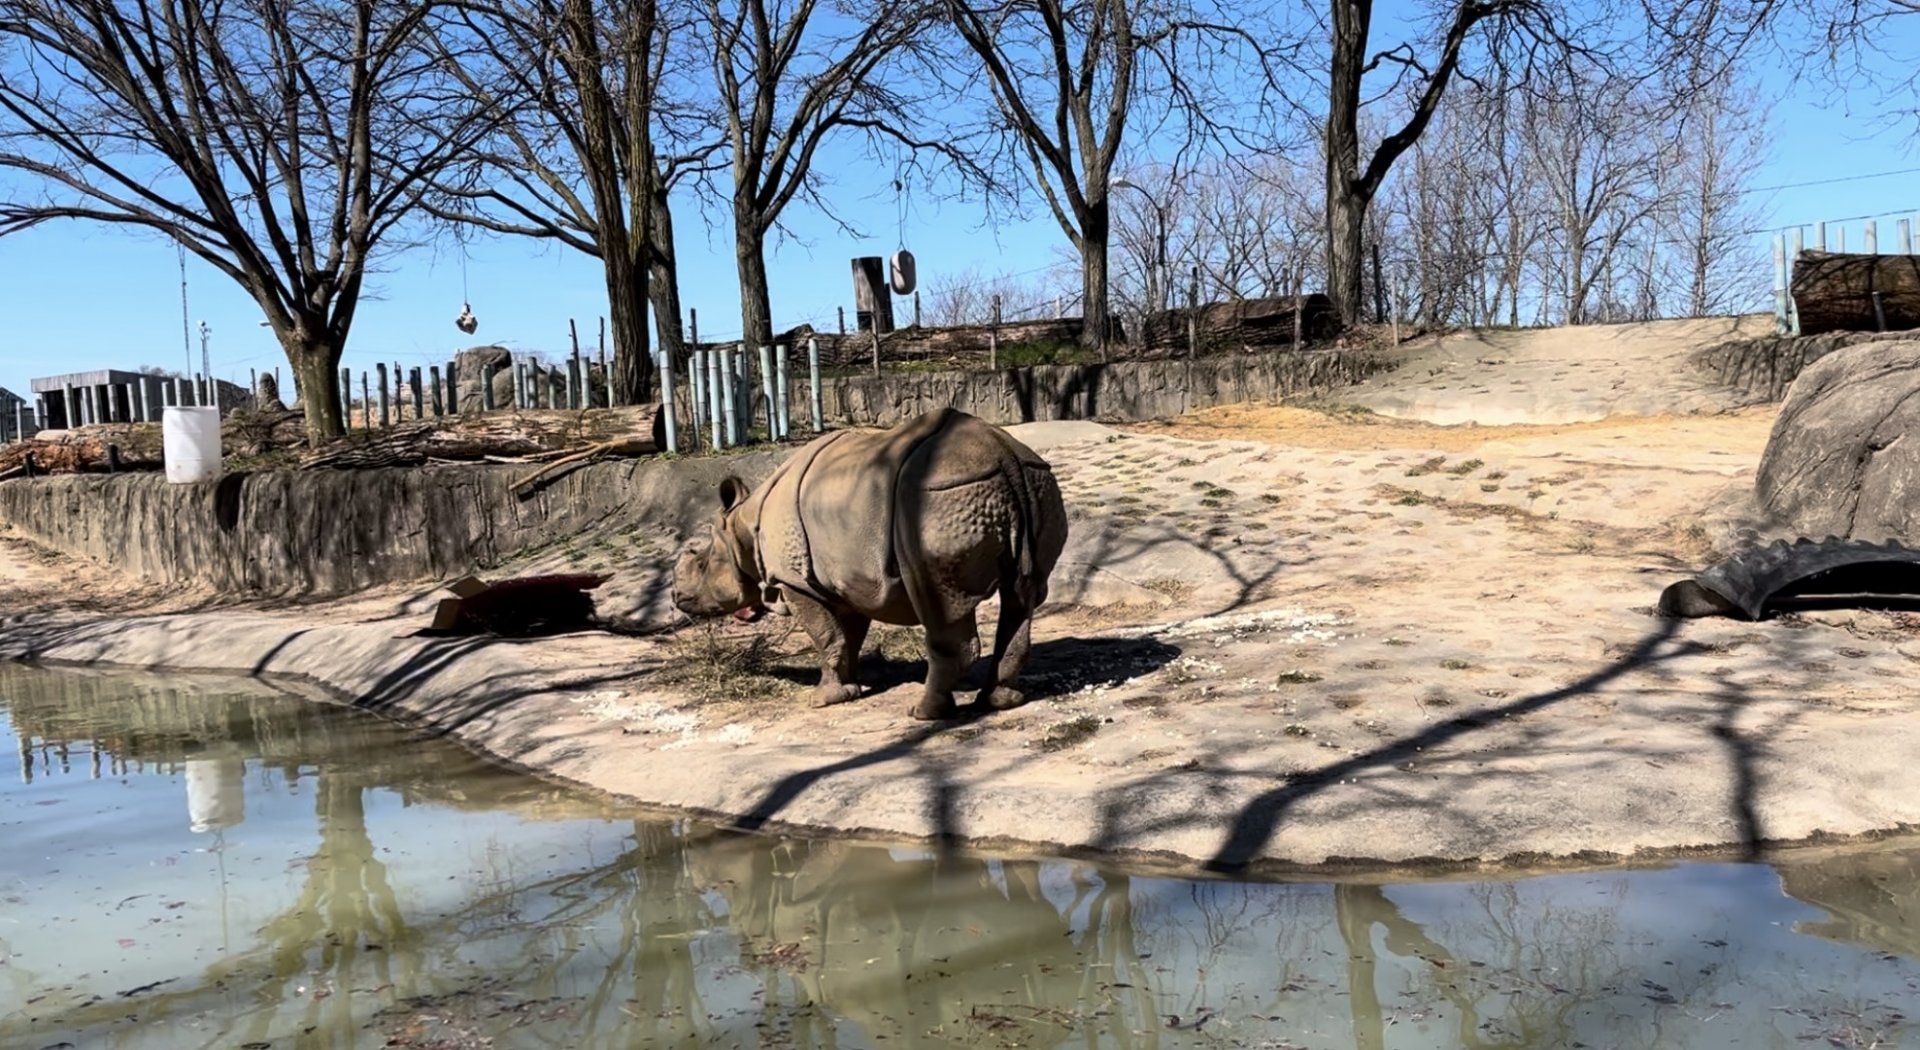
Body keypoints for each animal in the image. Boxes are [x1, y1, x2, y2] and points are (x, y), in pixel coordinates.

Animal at [669, 409, 1068, 721]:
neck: (743, 529)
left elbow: (826, 637)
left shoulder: (794, 580)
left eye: (701, 563)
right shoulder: (840, 582)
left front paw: (821, 701)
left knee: (939, 602)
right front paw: (847, 690)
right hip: (1035, 482)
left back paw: (924, 714)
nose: (676, 598)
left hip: (940, 498)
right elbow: (844, 637)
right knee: (1022, 596)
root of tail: (1005, 456)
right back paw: (1000, 702)